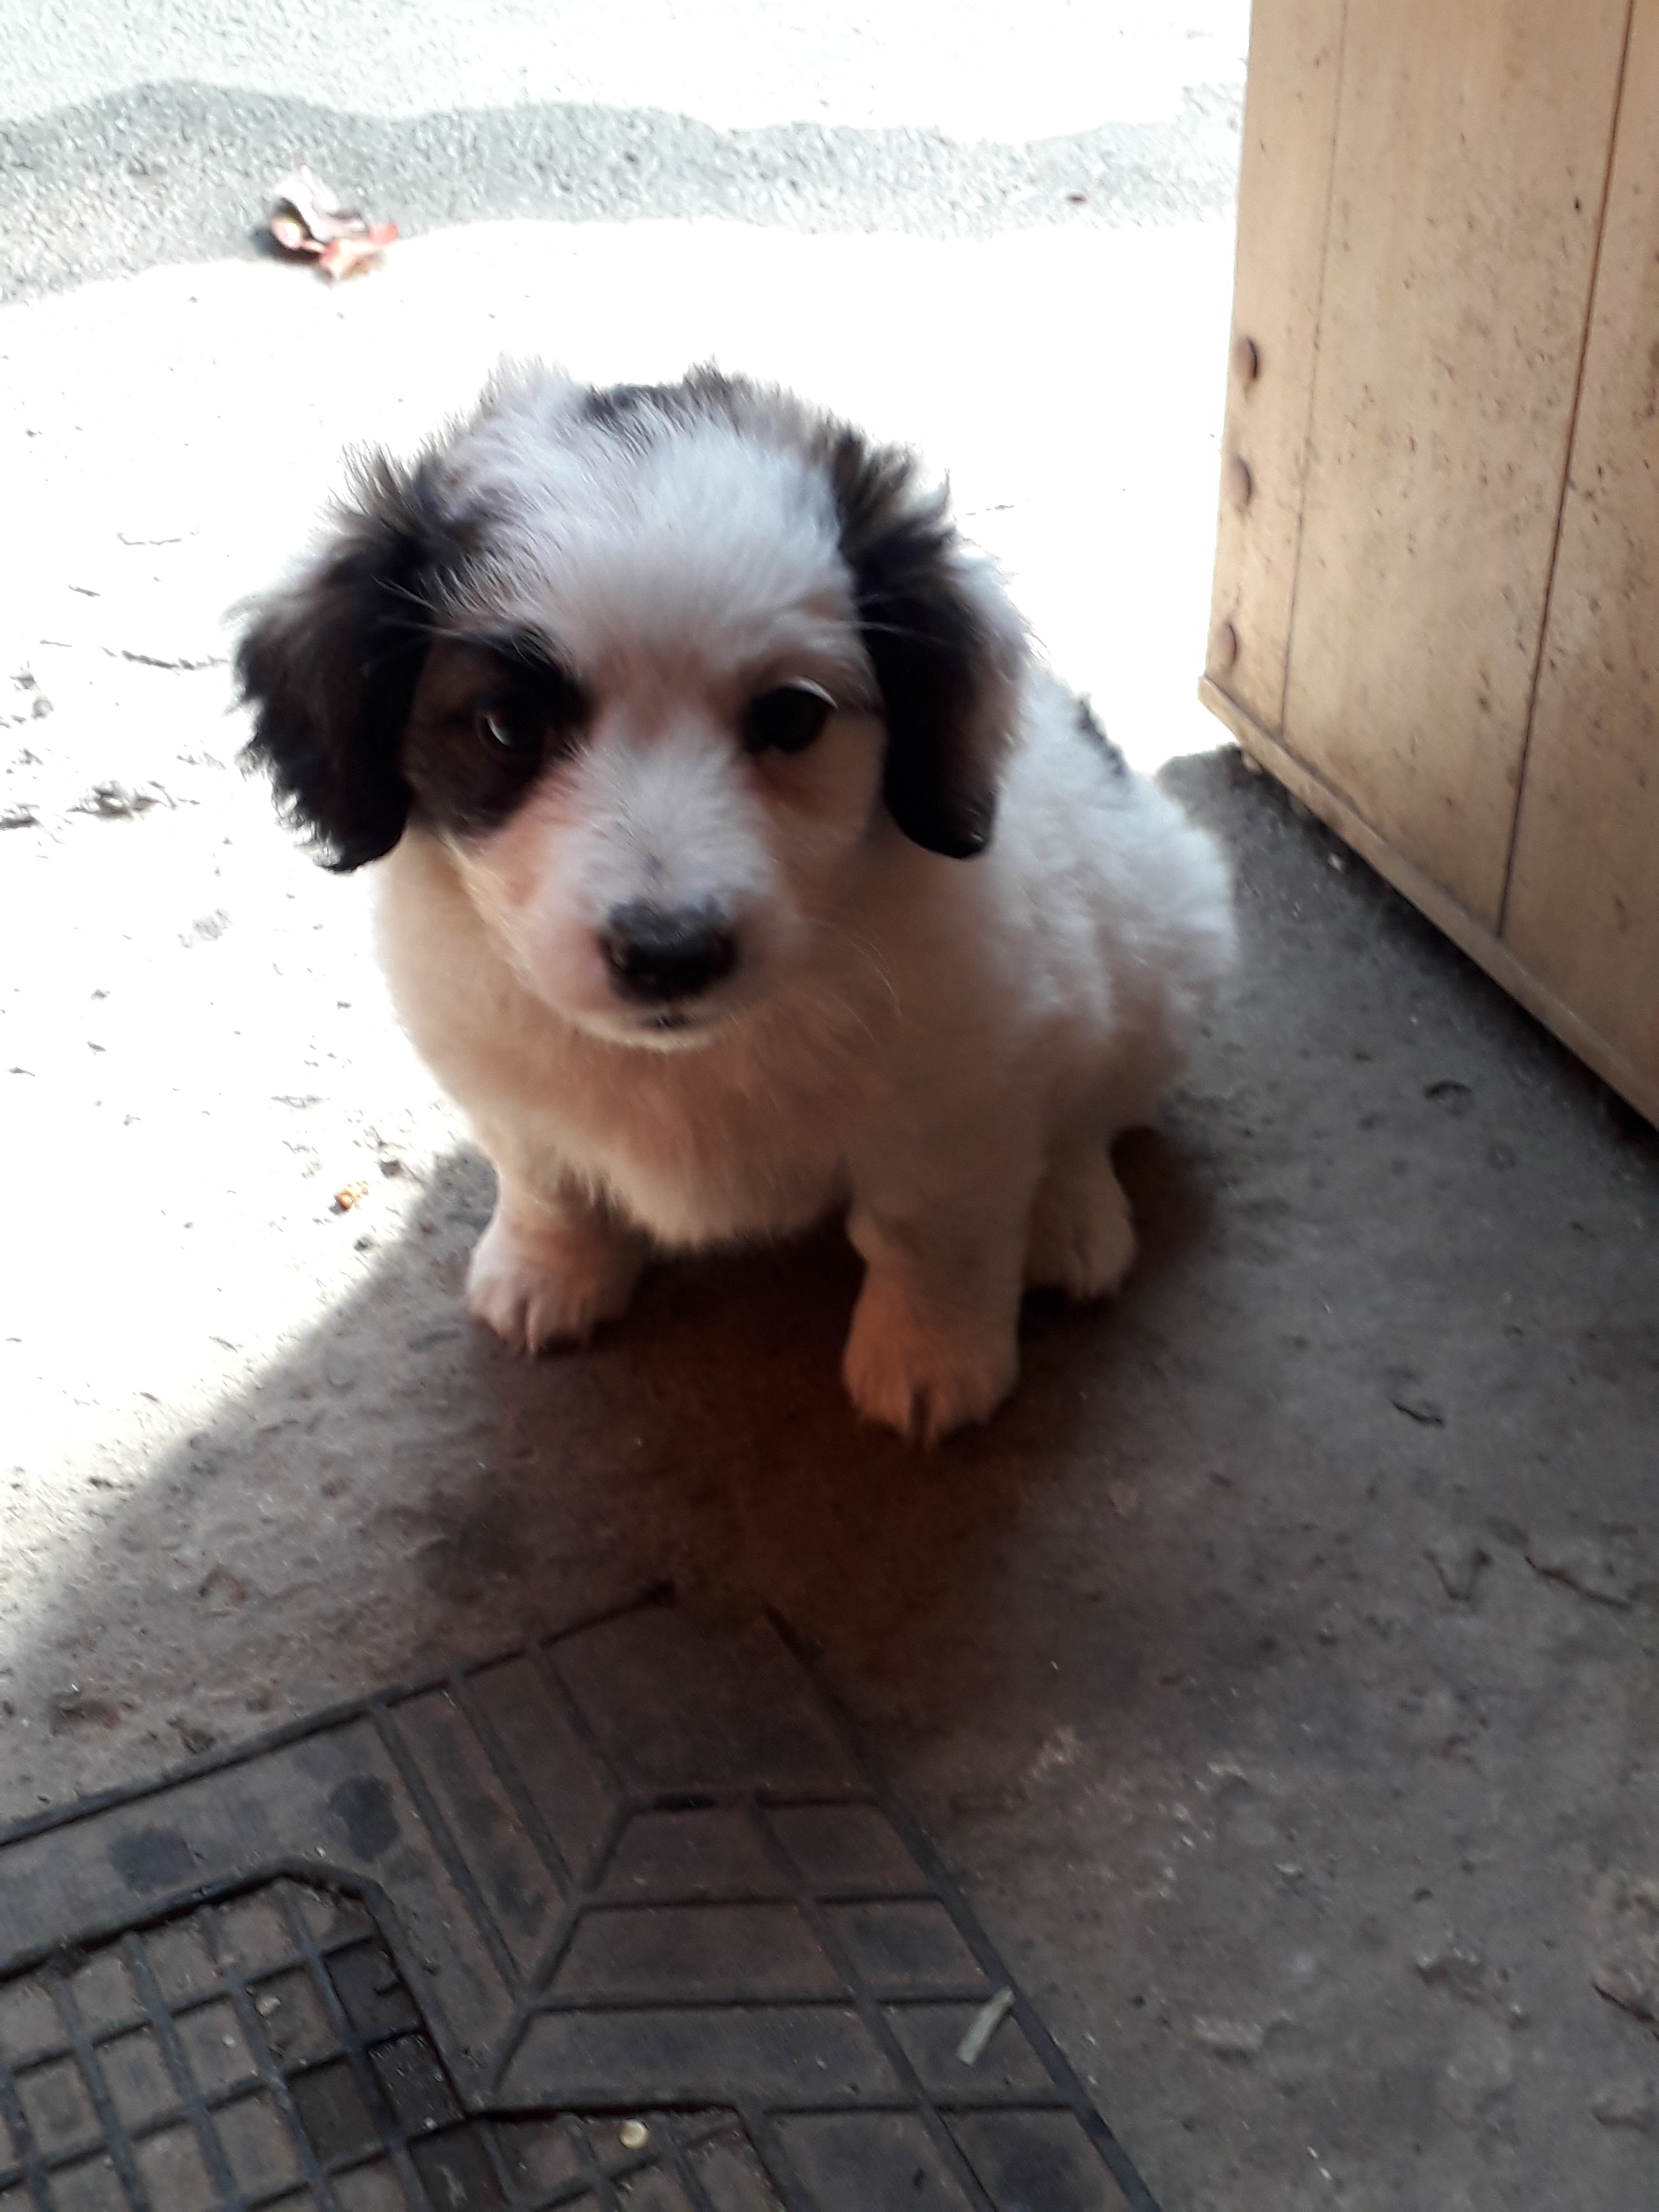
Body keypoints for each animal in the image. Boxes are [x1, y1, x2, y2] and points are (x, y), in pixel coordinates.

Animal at [236, 366, 1235, 1441]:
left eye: (792, 717)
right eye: (506, 724)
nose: (668, 951)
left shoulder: (954, 1092)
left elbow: (928, 1228)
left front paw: (933, 1356)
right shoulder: (502, 1081)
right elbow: (548, 1181)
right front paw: (550, 1271)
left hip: (1166, 942)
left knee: (1097, 1101)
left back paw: (1070, 1215)